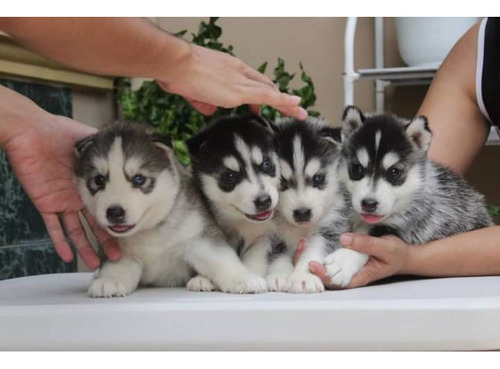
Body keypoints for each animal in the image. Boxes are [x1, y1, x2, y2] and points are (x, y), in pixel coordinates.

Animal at [74, 121, 268, 296]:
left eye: (139, 179)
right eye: (99, 180)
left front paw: (243, 278)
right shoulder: (120, 251)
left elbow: (221, 259)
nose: (114, 213)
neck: (151, 231)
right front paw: (109, 281)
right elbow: (117, 266)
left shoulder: (199, 236)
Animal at [187, 115, 282, 282]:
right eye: (230, 176)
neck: (243, 221)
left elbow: (256, 257)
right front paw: (202, 279)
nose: (264, 201)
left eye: (266, 164)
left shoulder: (266, 236)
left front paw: (252, 276)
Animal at [266, 118, 352, 294]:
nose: (302, 213)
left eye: (318, 178)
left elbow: (311, 253)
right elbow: (278, 252)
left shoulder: (331, 227)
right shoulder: (273, 232)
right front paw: (279, 275)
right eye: (281, 182)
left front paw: (303, 278)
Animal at [324, 105, 492, 286]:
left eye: (394, 172)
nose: (368, 203)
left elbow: (367, 234)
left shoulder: (411, 222)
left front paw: (343, 261)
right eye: (356, 168)